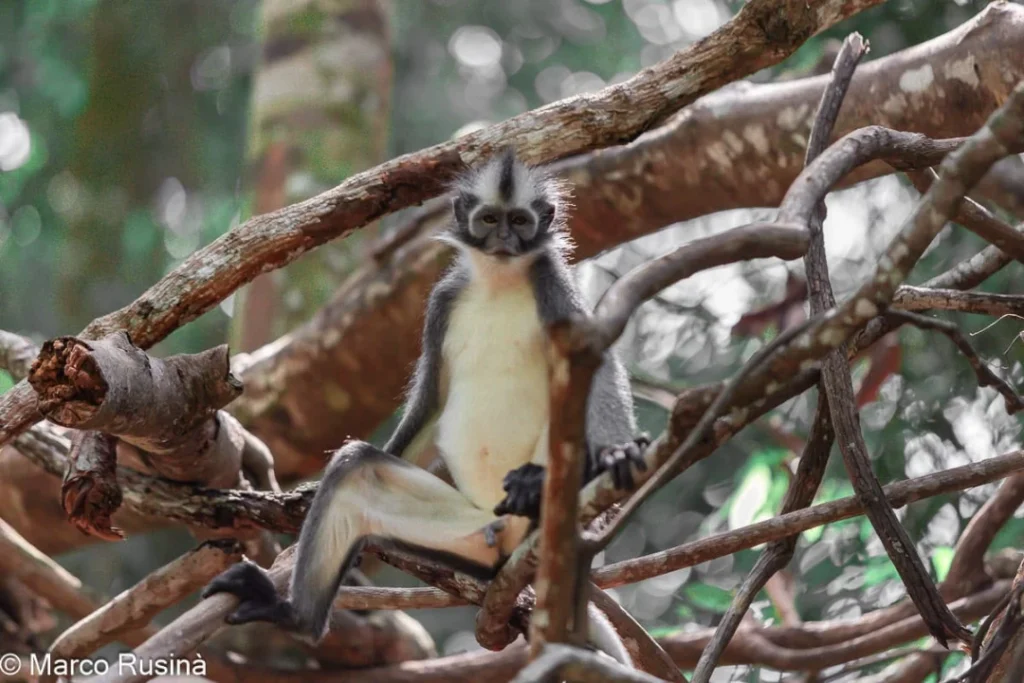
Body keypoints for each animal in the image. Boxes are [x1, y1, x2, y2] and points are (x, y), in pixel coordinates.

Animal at [202, 148, 649, 662]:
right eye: (490, 219)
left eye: (520, 221)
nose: (503, 239)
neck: (499, 281)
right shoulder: (443, 302)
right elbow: (432, 399)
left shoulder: (553, 286)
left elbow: (598, 366)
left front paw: (617, 453)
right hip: (475, 536)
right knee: (356, 469)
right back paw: (295, 616)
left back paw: (537, 484)